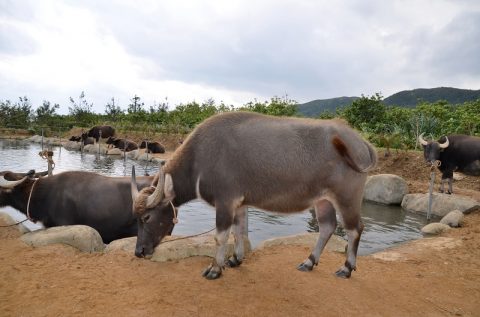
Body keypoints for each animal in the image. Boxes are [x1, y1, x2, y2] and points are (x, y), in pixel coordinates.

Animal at [132, 111, 378, 278]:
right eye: (136, 218)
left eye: (147, 217)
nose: (139, 251)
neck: (199, 159)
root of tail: (361, 142)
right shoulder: (240, 203)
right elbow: (239, 231)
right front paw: (235, 259)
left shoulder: (225, 202)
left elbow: (221, 236)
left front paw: (215, 268)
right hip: (323, 200)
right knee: (327, 227)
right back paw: (309, 262)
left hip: (347, 198)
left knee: (355, 229)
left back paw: (346, 268)